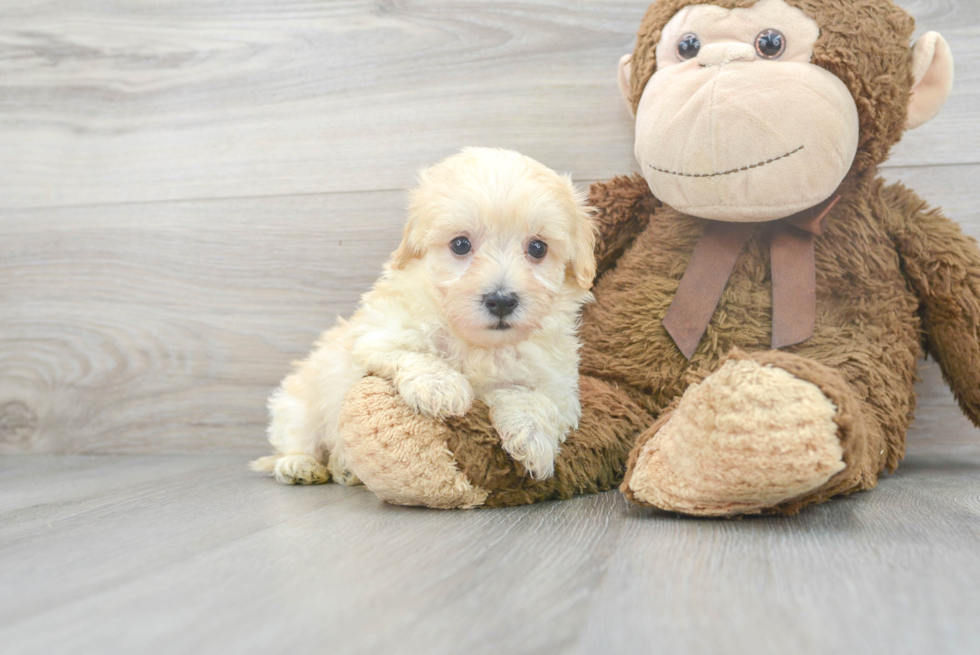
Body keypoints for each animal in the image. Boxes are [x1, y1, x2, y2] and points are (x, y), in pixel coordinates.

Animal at [251, 149, 596, 486]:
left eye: (538, 248)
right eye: (460, 244)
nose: (501, 301)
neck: (479, 343)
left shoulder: (558, 384)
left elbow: (536, 399)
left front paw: (533, 439)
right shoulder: (379, 334)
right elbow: (415, 355)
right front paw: (443, 388)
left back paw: (344, 470)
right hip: (300, 403)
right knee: (296, 437)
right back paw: (300, 465)